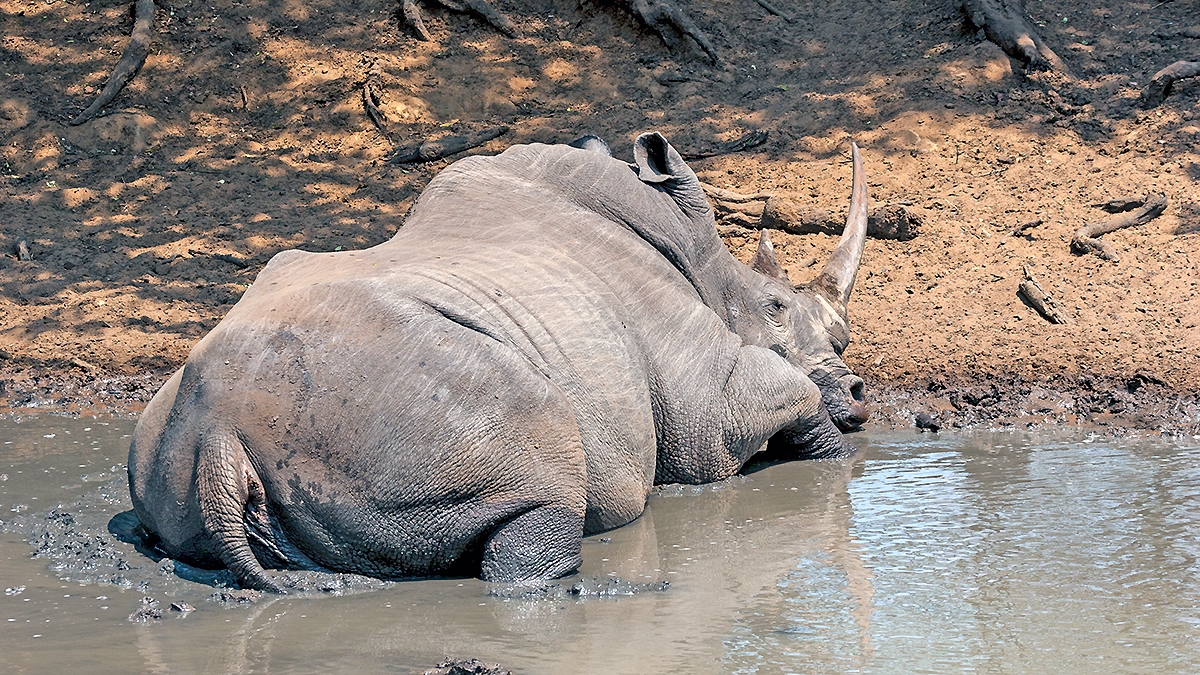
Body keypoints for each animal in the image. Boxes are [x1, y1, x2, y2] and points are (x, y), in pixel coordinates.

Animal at [128, 132, 870, 592]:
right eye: (778, 306)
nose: (860, 393)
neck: (713, 276)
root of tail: (219, 434)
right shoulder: (707, 394)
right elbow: (773, 395)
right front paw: (833, 452)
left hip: (187, 429)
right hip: (399, 397)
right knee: (541, 466)